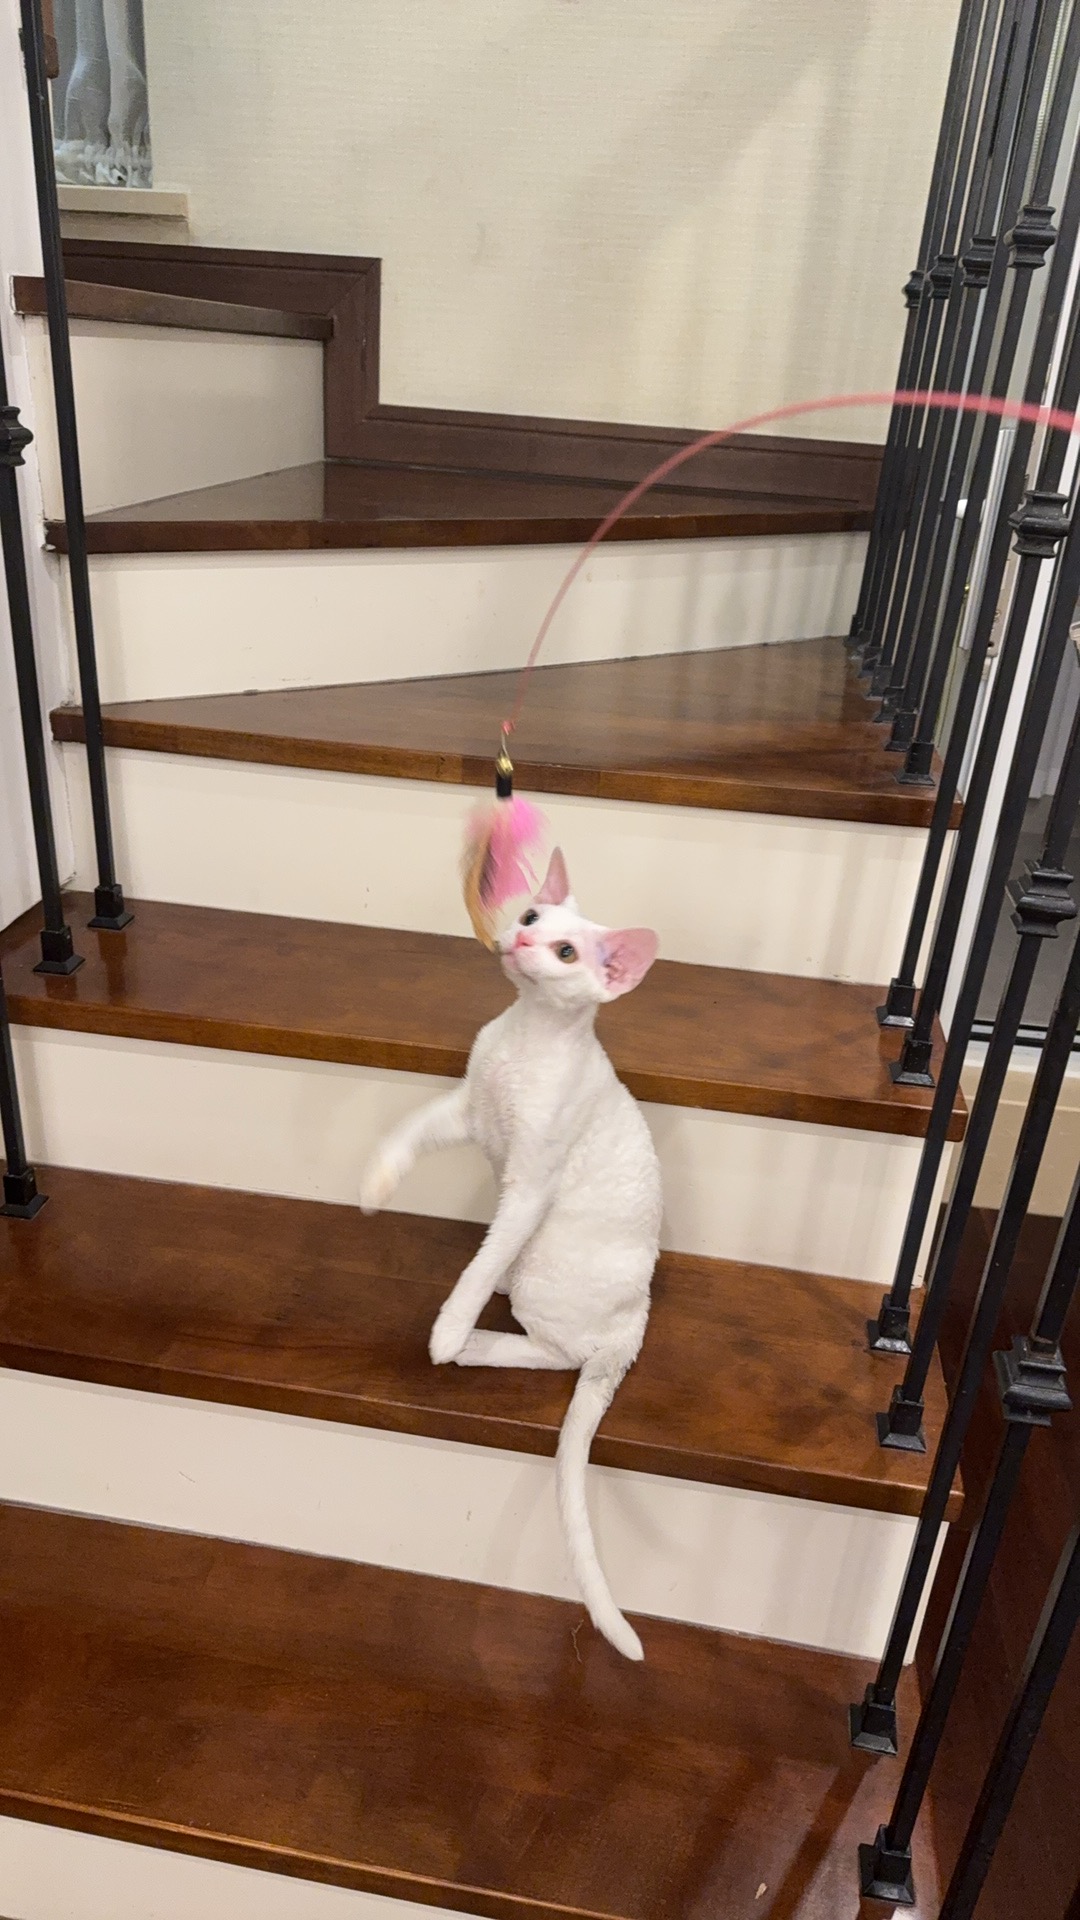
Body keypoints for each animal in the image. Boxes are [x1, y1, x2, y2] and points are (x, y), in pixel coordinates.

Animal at [359, 848, 662, 1661]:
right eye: (529, 917)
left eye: (566, 954)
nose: (521, 941)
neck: (524, 1041)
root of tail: (635, 1322)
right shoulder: (466, 1110)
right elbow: (407, 1131)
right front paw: (375, 1182)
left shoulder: (528, 1187)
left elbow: (479, 1266)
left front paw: (449, 1328)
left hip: (546, 1274)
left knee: (557, 1351)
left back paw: (475, 1344)